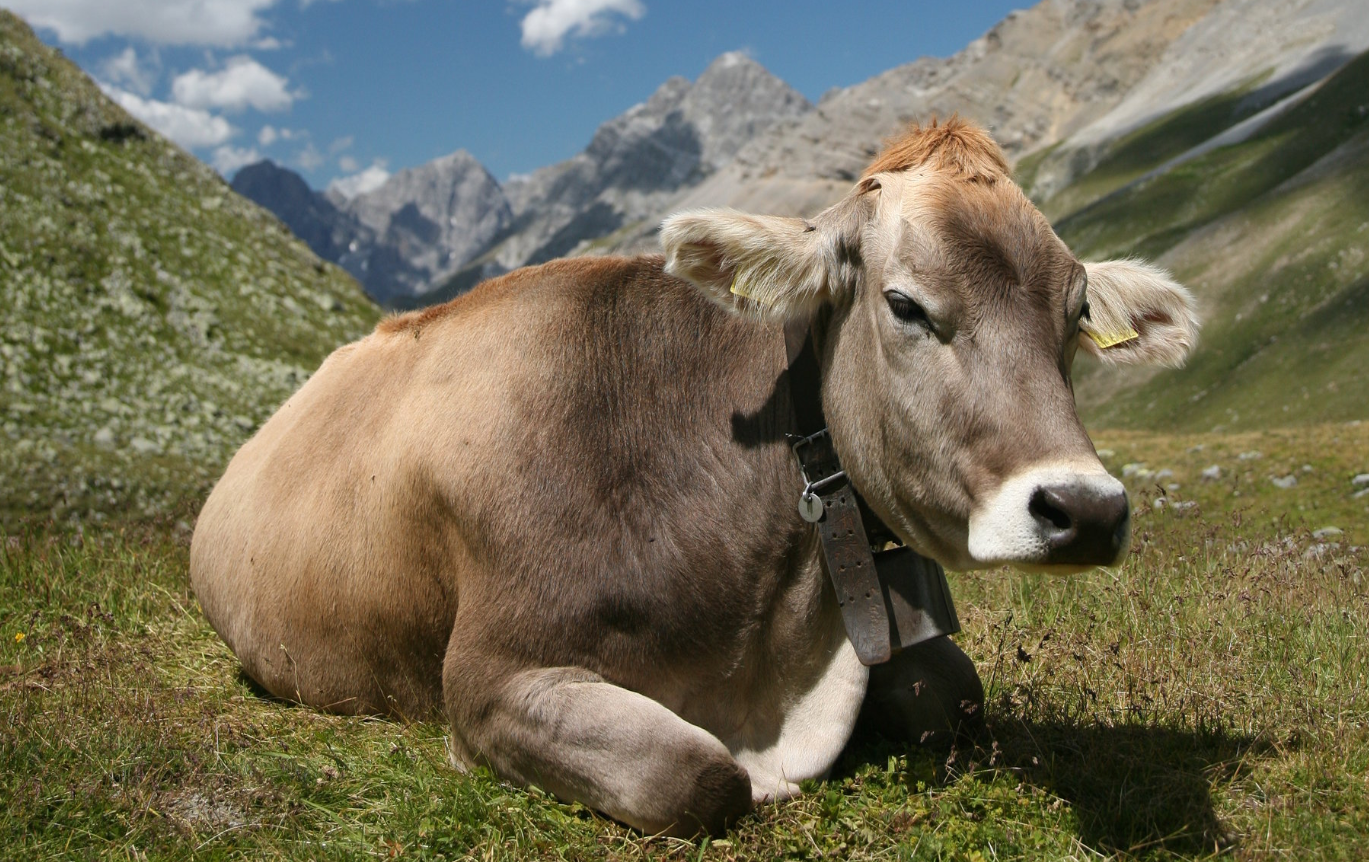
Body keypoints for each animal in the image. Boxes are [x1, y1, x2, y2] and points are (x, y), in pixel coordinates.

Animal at [193, 118, 1199, 842]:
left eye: (1074, 315)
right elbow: (698, 776)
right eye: (905, 304)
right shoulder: (489, 677)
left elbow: (953, 695)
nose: (1083, 510)